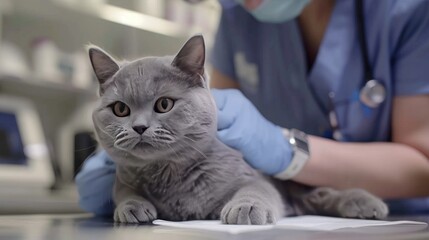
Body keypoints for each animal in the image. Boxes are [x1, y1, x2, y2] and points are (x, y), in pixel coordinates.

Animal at [88, 34, 388, 224]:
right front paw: (132, 207)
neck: (169, 175)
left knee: (324, 194)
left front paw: (247, 207)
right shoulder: (124, 179)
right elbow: (124, 193)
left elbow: (255, 189)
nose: (139, 127)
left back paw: (367, 204)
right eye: (120, 109)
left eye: (164, 104)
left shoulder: (250, 176)